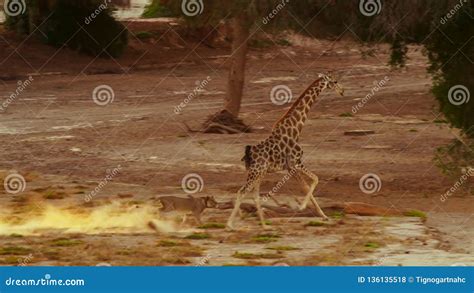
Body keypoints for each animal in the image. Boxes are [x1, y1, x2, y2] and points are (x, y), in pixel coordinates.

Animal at [226, 72, 344, 228]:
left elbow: (307, 186)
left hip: (260, 173)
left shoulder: (290, 167)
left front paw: (324, 216)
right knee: (242, 192)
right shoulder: (295, 163)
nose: (342, 91)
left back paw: (263, 224)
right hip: (257, 172)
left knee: (254, 194)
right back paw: (230, 224)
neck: (295, 129)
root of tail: (248, 153)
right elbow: (314, 180)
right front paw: (302, 207)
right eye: (335, 81)